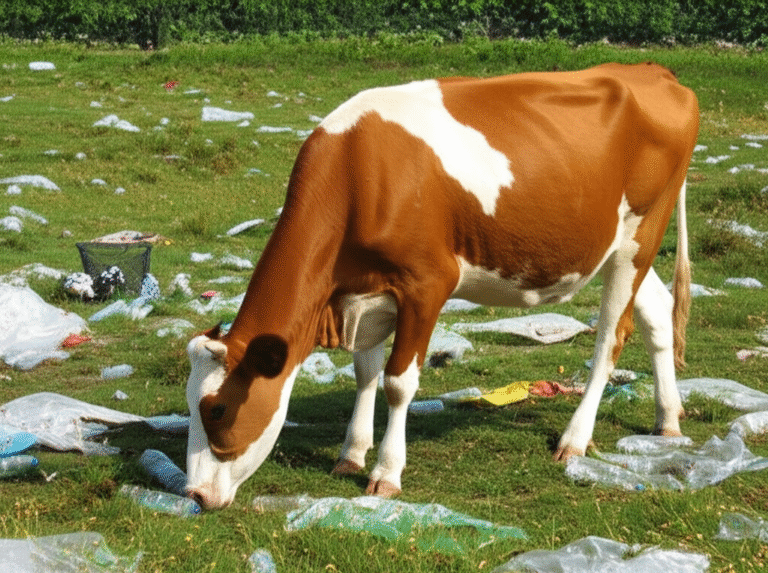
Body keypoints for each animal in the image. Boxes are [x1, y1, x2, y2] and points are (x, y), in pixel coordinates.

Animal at [185, 62, 699, 510]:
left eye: (217, 410)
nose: (193, 495)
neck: (357, 173)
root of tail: (652, 71)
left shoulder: (426, 285)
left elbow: (397, 383)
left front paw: (386, 472)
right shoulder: (363, 292)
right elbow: (365, 371)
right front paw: (351, 453)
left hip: (641, 231)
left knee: (612, 335)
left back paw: (575, 439)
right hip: (619, 245)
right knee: (657, 311)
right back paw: (668, 419)